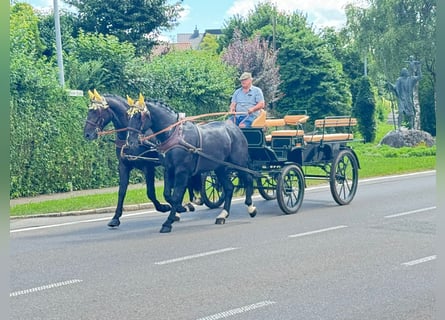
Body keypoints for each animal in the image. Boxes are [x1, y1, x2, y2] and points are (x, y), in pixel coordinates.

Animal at [82, 90, 196, 228]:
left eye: (96, 111)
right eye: (89, 110)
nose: (87, 134)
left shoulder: (148, 167)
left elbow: (150, 192)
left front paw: (164, 207)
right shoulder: (123, 166)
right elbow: (121, 191)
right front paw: (115, 217)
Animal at [125, 95, 256, 232]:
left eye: (138, 116)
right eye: (128, 115)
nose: (130, 142)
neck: (174, 135)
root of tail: (235, 128)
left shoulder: (181, 171)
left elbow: (177, 195)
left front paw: (168, 222)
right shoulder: (168, 169)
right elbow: (167, 194)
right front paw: (181, 208)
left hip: (239, 163)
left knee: (248, 179)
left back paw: (251, 208)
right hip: (219, 167)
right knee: (229, 187)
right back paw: (223, 215)